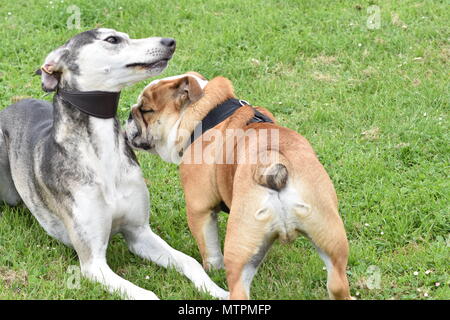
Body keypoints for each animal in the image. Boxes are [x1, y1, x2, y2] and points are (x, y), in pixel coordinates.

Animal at [0, 28, 227, 300]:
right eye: (112, 39)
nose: (170, 42)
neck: (102, 156)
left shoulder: (139, 232)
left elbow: (189, 262)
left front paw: (218, 291)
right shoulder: (93, 263)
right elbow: (148, 295)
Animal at [125, 72, 354, 300]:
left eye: (146, 110)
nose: (129, 114)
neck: (204, 115)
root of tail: (274, 163)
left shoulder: (199, 208)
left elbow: (209, 248)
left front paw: (212, 270)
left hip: (239, 247)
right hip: (330, 236)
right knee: (337, 285)